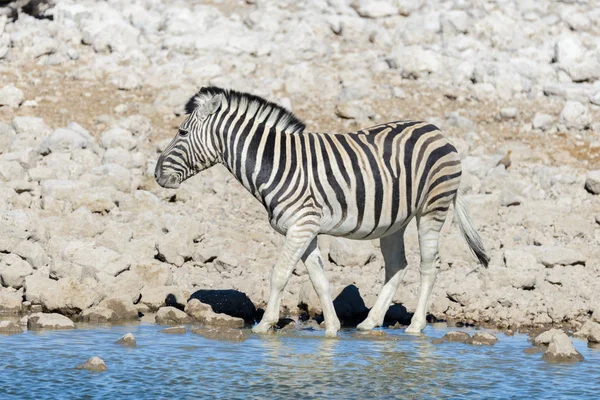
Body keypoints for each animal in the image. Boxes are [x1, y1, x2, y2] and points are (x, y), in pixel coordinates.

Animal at [155, 87, 488, 338]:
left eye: (182, 132)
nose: (156, 174)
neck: (276, 164)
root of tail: (437, 130)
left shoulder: (302, 225)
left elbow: (279, 274)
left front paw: (265, 325)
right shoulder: (306, 228)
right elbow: (319, 280)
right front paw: (332, 329)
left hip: (432, 209)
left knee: (429, 266)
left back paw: (416, 327)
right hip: (394, 221)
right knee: (397, 265)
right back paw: (370, 322)